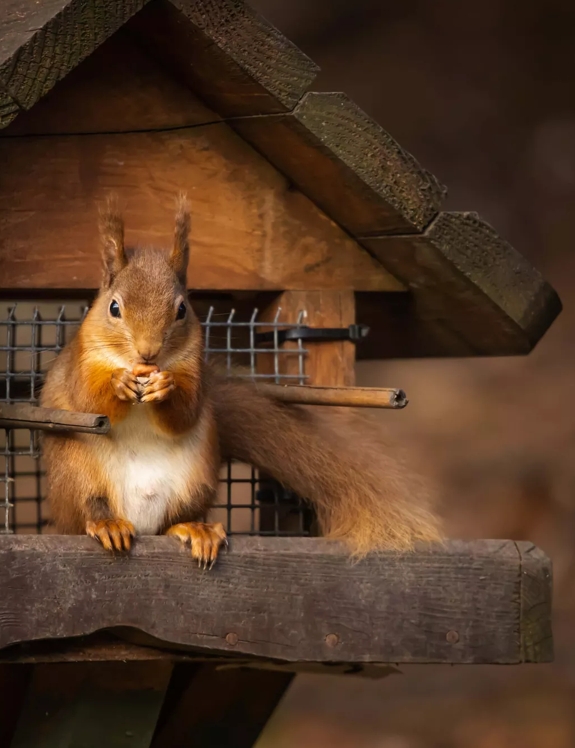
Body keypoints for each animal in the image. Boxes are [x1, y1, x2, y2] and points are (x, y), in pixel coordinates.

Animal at [40, 196, 441, 567]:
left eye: (182, 309)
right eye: (113, 308)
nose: (148, 353)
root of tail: (139, 522)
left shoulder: (194, 369)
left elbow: (184, 414)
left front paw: (165, 388)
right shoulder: (80, 363)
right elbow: (88, 399)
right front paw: (118, 385)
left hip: (194, 481)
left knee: (174, 521)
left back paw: (195, 529)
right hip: (76, 474)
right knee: (88, 509)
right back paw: (106, 524)